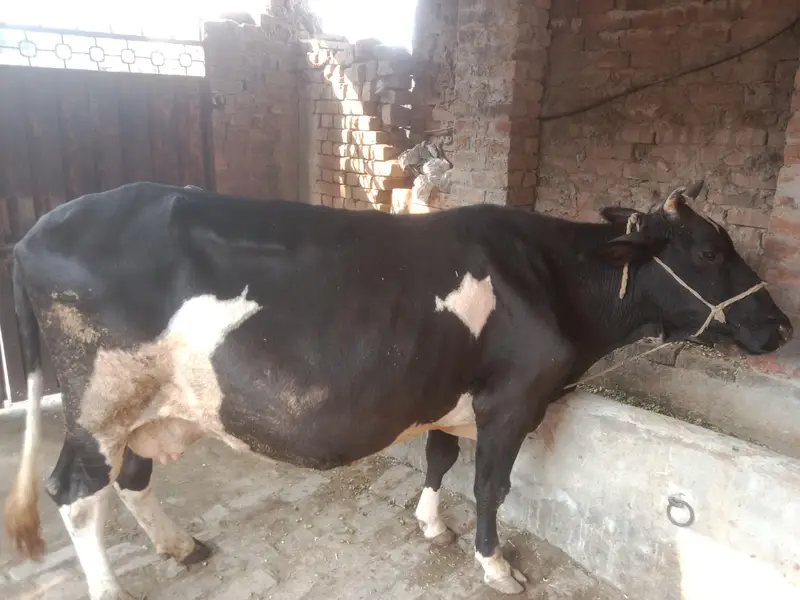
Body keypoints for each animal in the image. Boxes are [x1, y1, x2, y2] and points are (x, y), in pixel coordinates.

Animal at [3, 180, 792, 599]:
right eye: (709, 250)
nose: (781, 325)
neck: (552, 279)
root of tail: (38, 228)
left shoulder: (446, 391)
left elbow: (440, 459)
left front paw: (431, 524)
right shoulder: (514, 399)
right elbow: (490, 485)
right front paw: (494, 562)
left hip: (151, 404)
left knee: (131, 478)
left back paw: (180, 545)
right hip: (100, 401)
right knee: (77, 495)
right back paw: (112, 585)